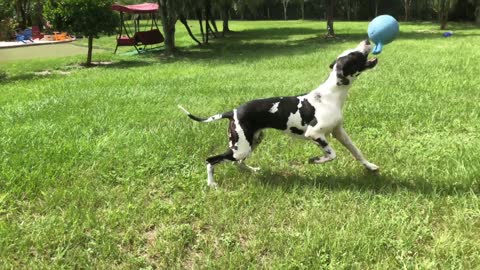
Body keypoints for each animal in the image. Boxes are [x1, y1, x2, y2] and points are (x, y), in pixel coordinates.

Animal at [179, 40, 378, 188]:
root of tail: (232, 111)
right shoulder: (314, 134)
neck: (330, 95)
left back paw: (253, 171)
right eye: (355, 55)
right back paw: (211, 184)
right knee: (211, 160)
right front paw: (316, 160)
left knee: (238, 163)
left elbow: (356, 152)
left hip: (251, 143)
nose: (367, 40)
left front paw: (370, 167)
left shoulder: (339, 132)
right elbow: (332, 154)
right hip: (241, 148)